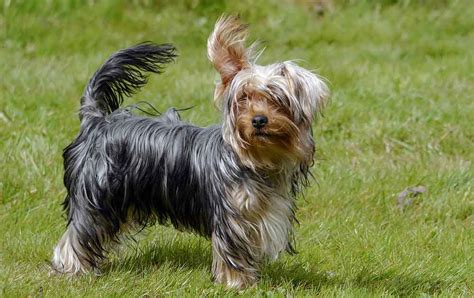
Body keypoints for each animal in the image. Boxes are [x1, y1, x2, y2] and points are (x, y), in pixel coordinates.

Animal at [51, 15, 326, 288]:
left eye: (278, 99)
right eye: (243, 98)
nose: (258, 120)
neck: (258, 160)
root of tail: (96, 120)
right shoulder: (231, 217)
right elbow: (232, 252)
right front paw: (237, 284)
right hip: (96, 195)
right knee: (80, 232)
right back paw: (74, 269)